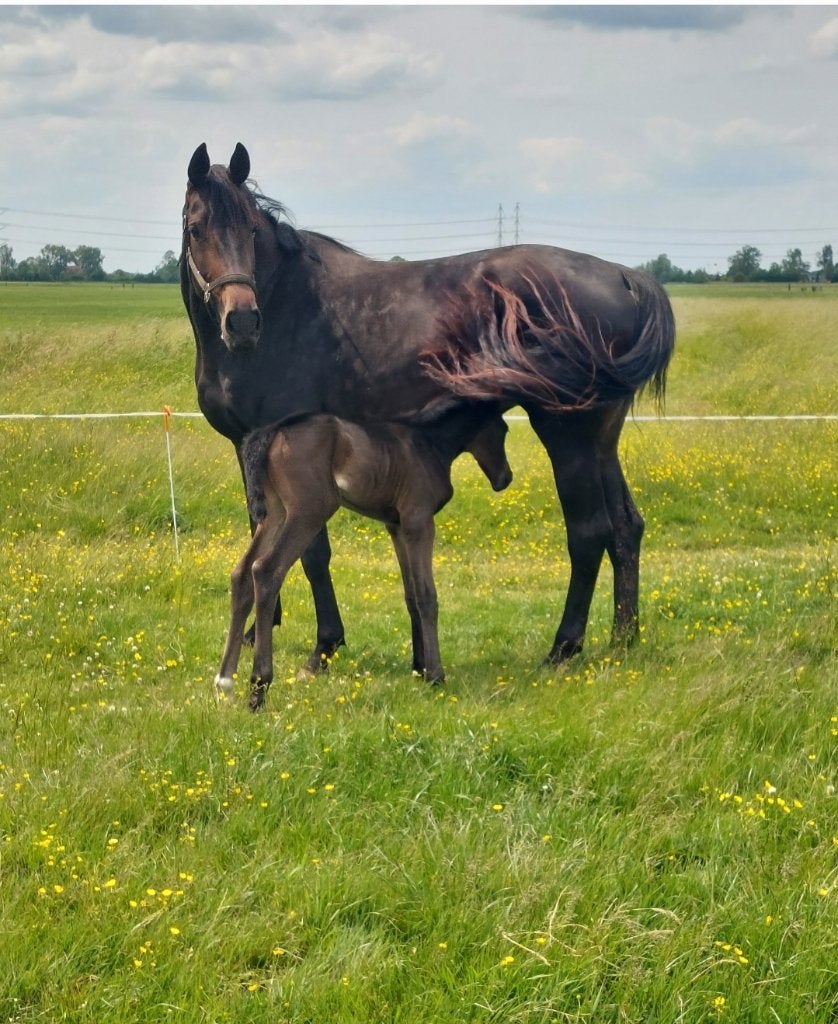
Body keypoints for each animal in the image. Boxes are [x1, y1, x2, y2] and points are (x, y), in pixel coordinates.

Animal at [215, 407, 512, 709]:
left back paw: (225, 682)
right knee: (266, 570)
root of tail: (272, 432)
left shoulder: (397, 526)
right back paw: (258, 688)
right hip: (308, 512)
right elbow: (427, 596)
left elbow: (412, 595)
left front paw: (420, 667)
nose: (505, 478)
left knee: (241, 573)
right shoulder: (420, 523)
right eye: (502, 430)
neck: (428, 443)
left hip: (276, 512)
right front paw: (435, 675)